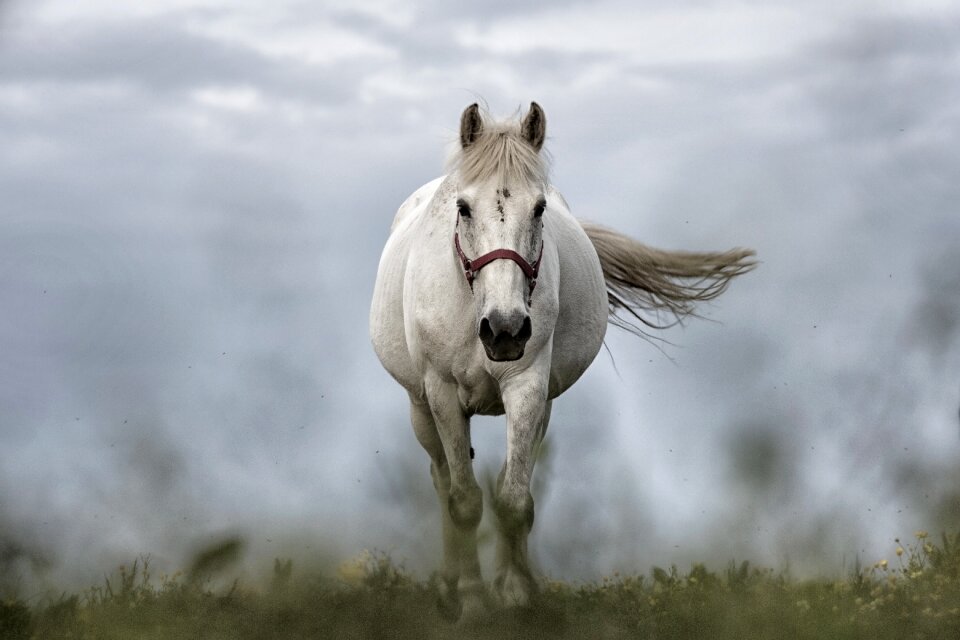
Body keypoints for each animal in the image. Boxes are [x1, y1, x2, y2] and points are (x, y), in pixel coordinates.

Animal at [372, 102, 752, 616]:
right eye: (463, 207)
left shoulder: (528, 387)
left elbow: (514, 500)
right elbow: (465, 501)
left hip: (541, 407)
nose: (505, 329)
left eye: (539, 208)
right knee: (442, 480)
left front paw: (515, 594)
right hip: (420, 407)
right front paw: (471, 602)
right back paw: (450, 585)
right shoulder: (443, 393)